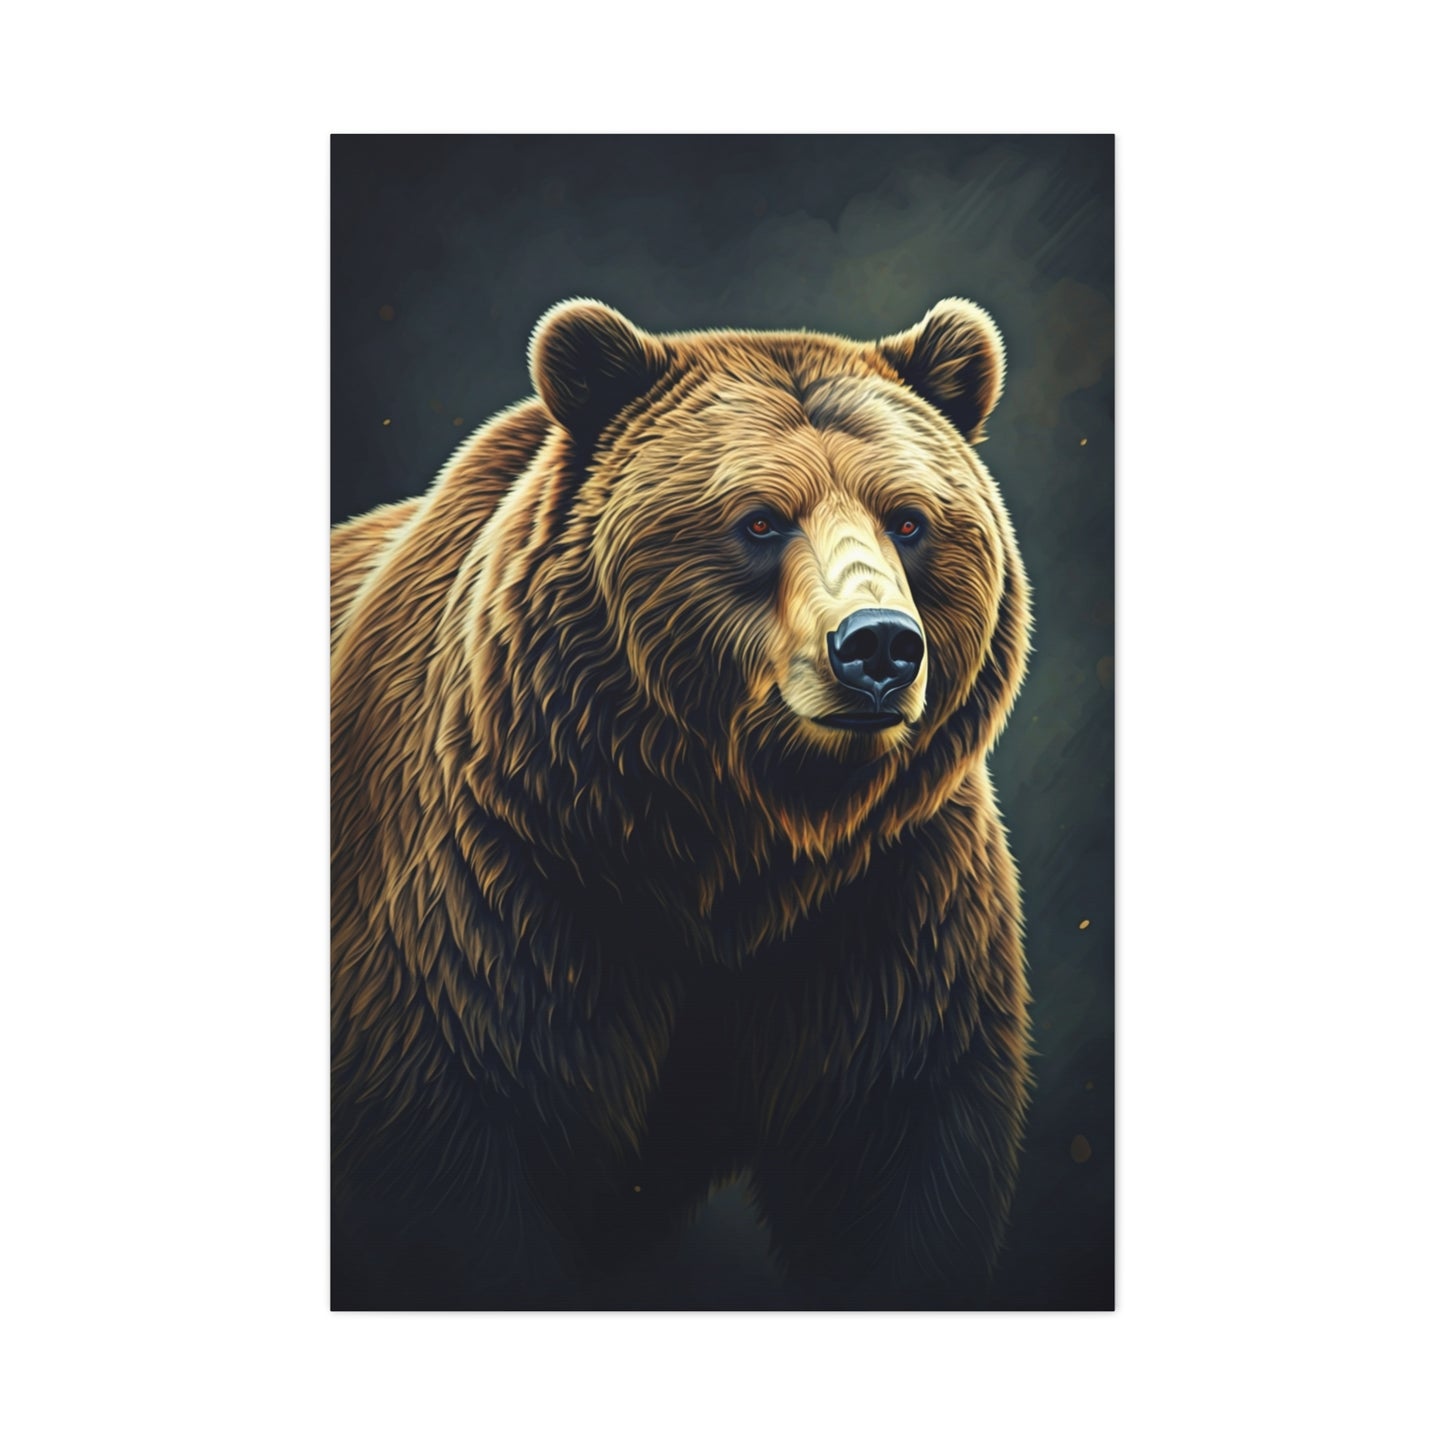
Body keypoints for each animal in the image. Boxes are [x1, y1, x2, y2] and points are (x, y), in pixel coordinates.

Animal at [331, 297, 1032, 1309]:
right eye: (759, 518)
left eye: (909, 518)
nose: (877, 646)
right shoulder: (497, 888)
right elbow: (455, 1141)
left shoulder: (888, 901)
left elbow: (898, 1161)